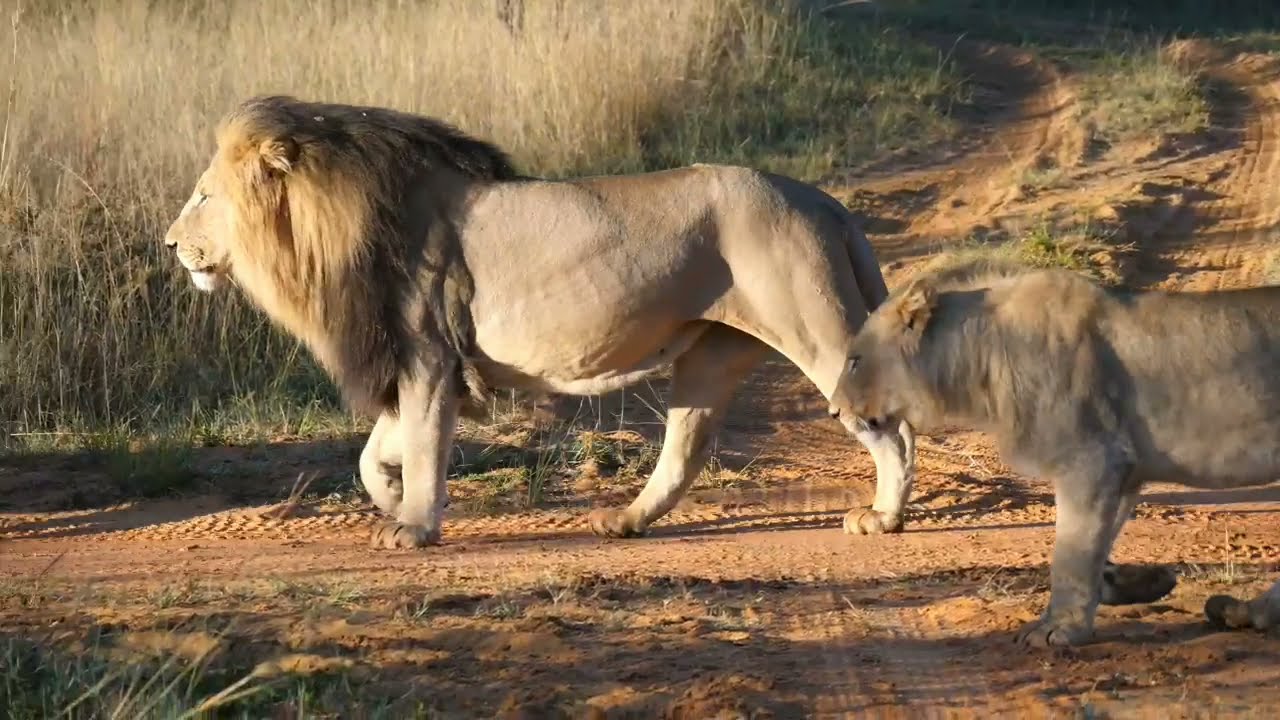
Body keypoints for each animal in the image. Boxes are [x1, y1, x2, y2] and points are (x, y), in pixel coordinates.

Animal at [163, 94, 917, 550]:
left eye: (202, 196)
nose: (170, 244)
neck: (327, 225)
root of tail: (821, 200)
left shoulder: (429, 356)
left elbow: (424, 446)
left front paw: (415, 526)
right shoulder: (425, 362)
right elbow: (374, 452)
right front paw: (393, 499)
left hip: (815, 328)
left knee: (895, 429)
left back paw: (884, 518)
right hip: (712, 351)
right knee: (686, 446)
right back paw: (625, 521)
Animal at [835, 251, 1280, 646]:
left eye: (855, 361)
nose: (835, 409)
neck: (979, 360)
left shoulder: (1091, 462)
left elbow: (1069, 555)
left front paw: (1059, 630)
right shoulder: (1123, 473)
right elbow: (1093, 550)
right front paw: (1131, 584)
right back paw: (1247, 612)